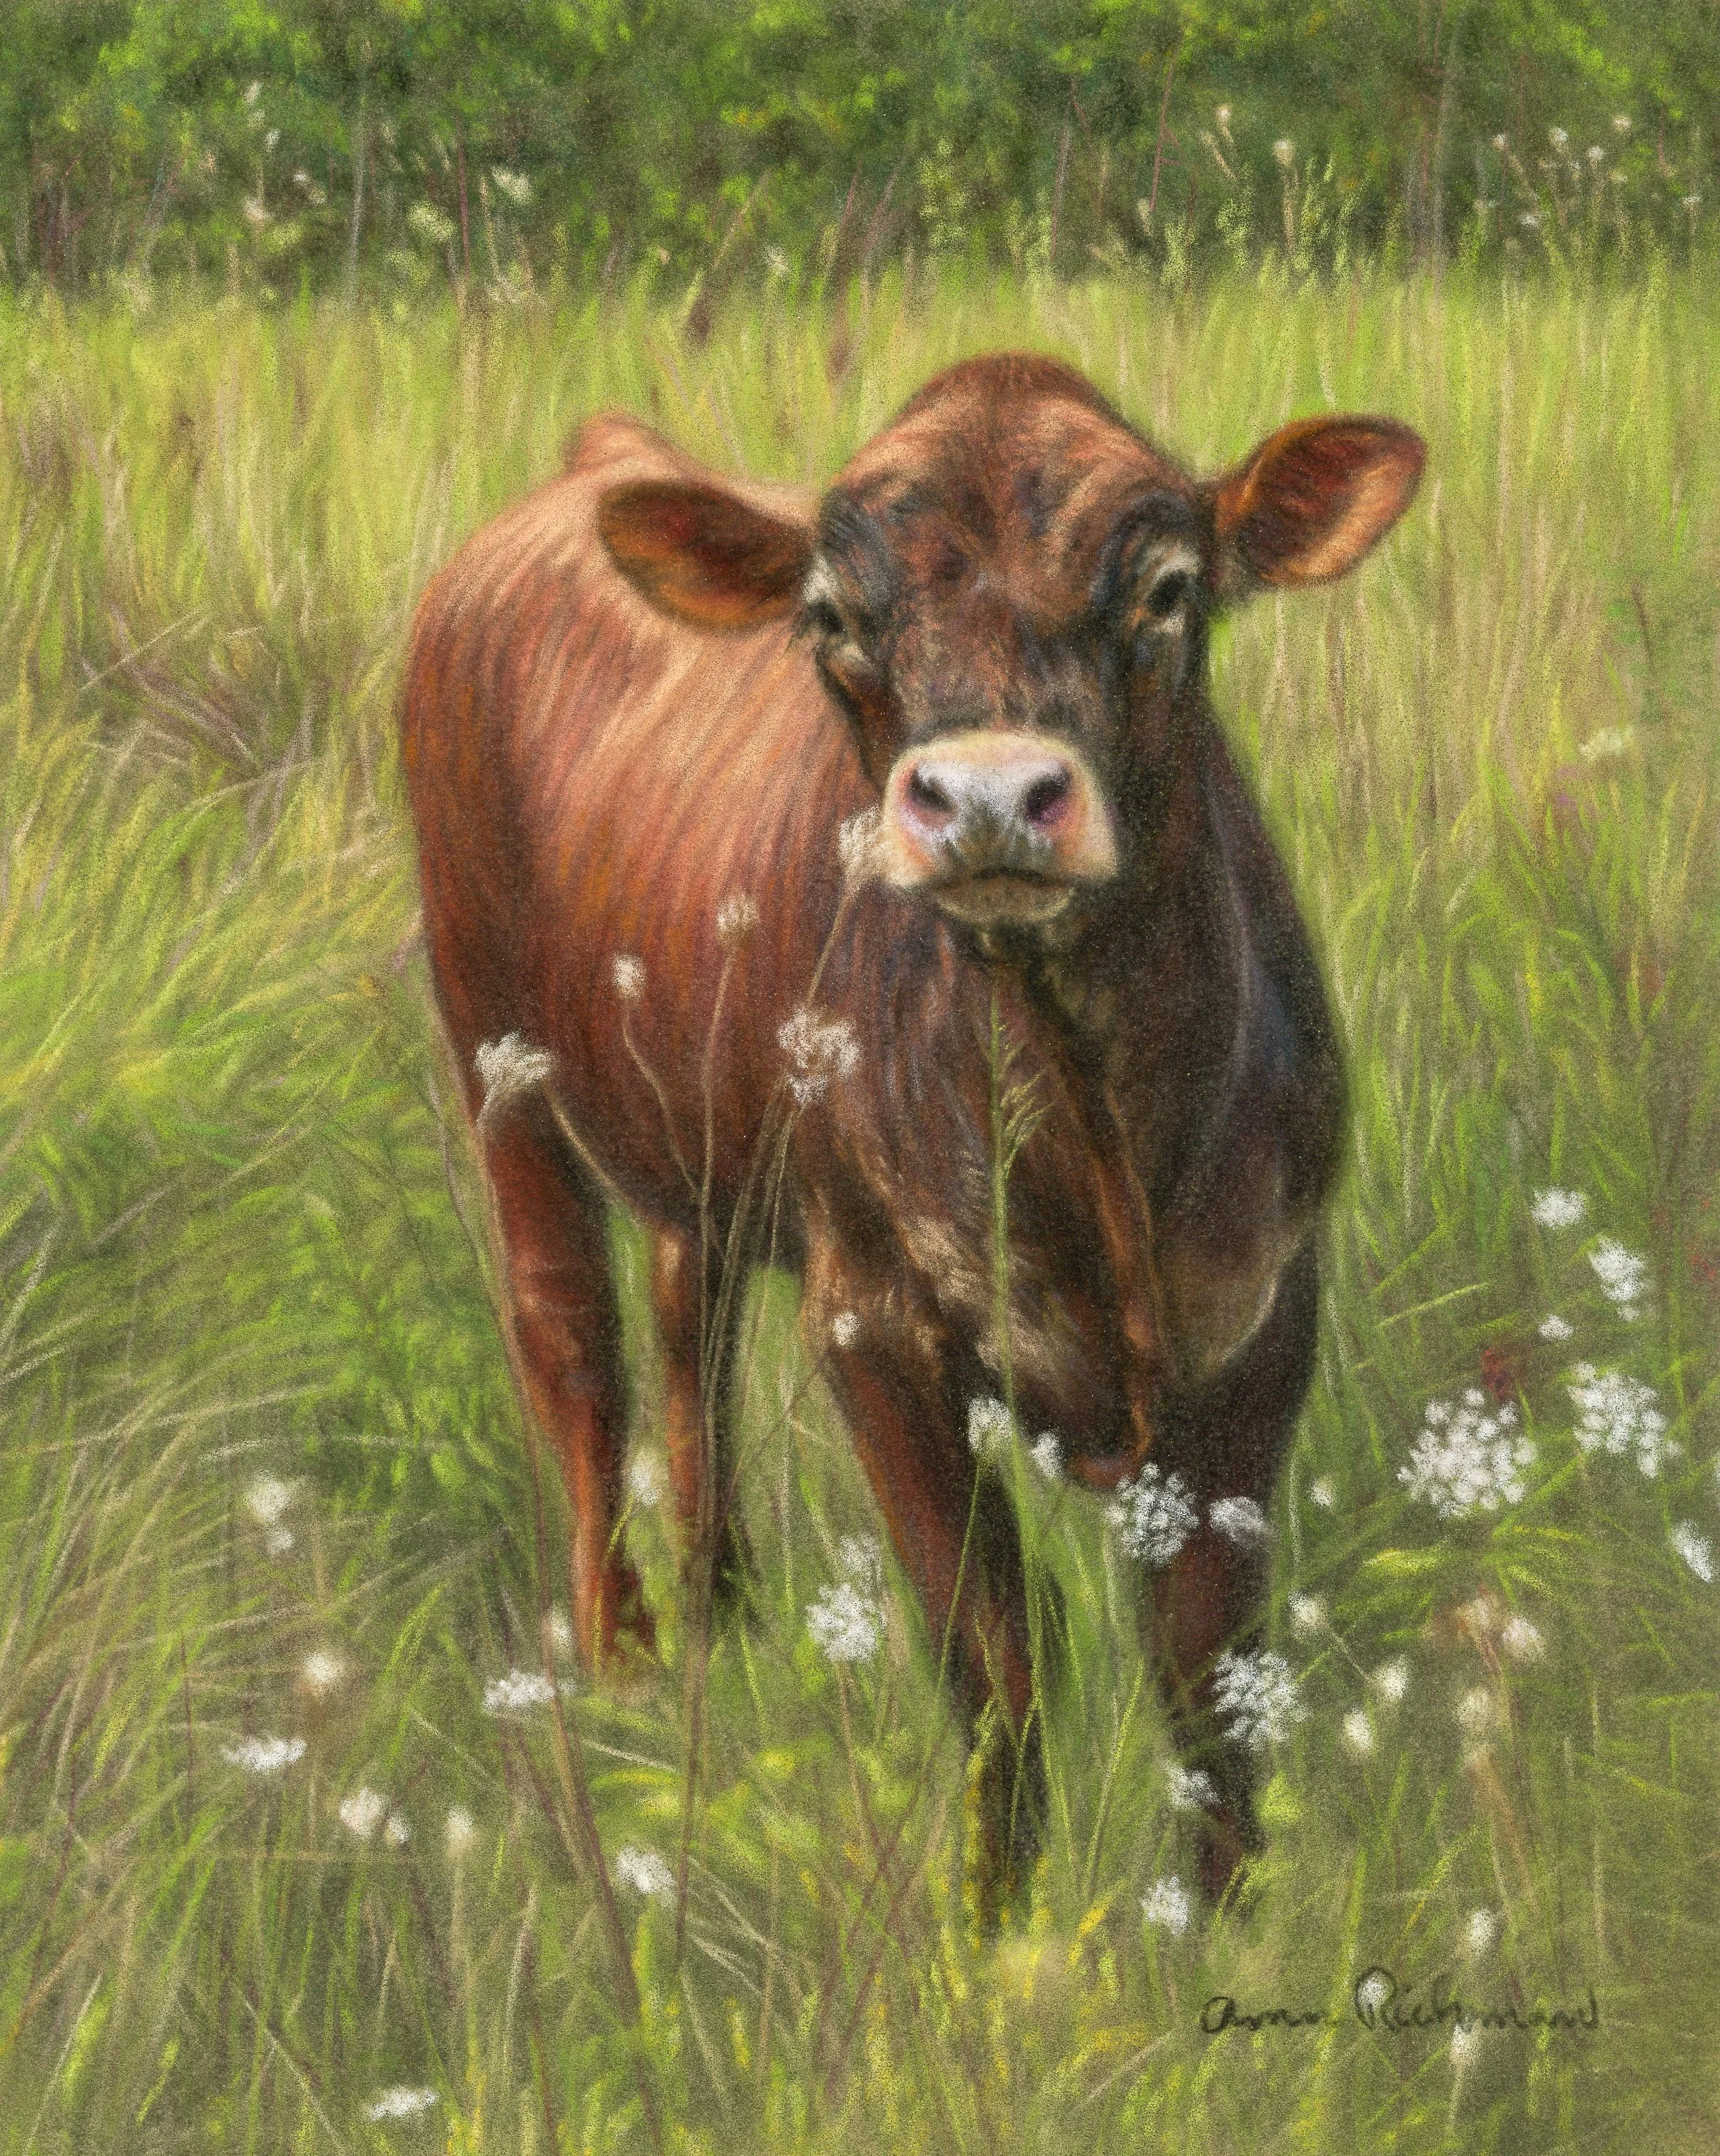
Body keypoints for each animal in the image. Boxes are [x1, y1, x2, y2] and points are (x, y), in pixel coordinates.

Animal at [402, 352, 1423, 1921]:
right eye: (832, 616)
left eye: (1165, 589)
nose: (990, 797)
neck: (1084, 1111)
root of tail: (596, 463)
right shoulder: (873, 1320)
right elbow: (993, 1645)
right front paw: (996, 1932)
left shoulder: (1260, 1311)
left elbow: (1208, 1660)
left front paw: (1225, 1922)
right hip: (492, 1051)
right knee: (570, 1338)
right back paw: (623, 1657)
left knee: (687, 1309)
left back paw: (723, 1609)